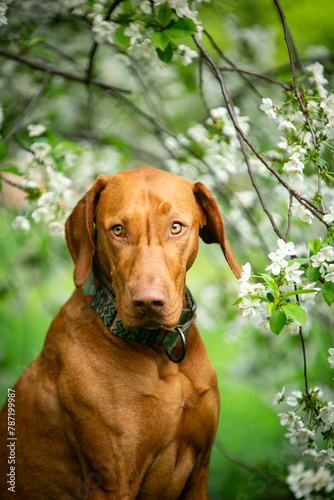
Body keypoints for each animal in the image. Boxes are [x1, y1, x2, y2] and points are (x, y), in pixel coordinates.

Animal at [0, 166, 240, 498]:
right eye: (117, 230)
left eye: (176, 227)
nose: (149, 302)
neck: (160, 354)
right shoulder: (113, 483)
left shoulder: (199, 476)